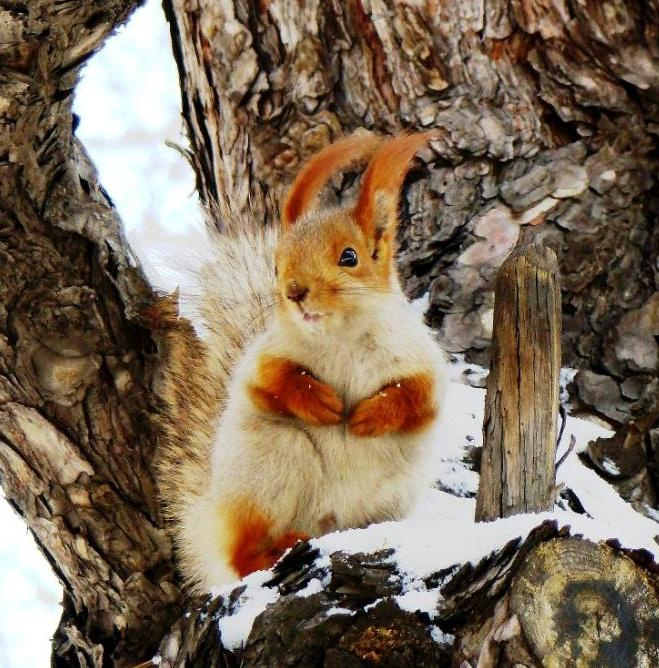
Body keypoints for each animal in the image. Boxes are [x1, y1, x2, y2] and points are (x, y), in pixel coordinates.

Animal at [150, 131, 448, 595]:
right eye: (276, 265)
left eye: (349, 256)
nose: (294, 291)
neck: (341, 336)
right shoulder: (263, 357)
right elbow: (272, 379)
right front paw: (320, 402)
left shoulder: (422, 361)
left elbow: (414, 396)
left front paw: (371, 415)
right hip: (273, 462)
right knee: (243, 557)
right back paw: (273, 549)